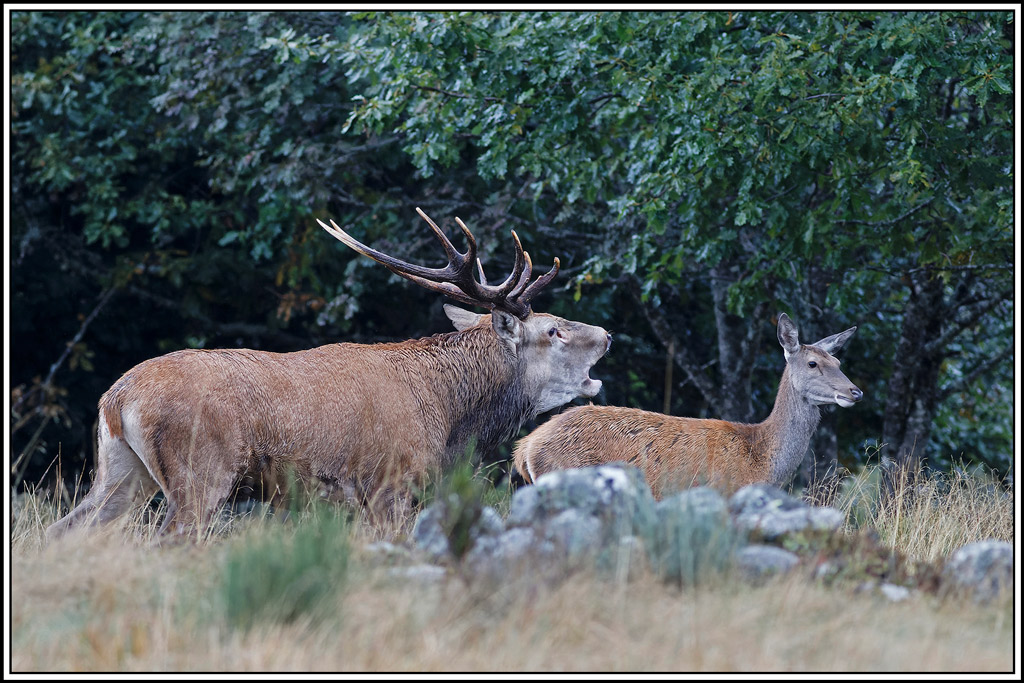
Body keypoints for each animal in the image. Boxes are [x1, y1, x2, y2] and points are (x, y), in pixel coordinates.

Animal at [46, 208, 612, 540]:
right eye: (554, 330)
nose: (606, 335)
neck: (449, 413)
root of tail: (117, 399)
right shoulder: (389, 483)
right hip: (200, 471)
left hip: (121, 470)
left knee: (67, 529)